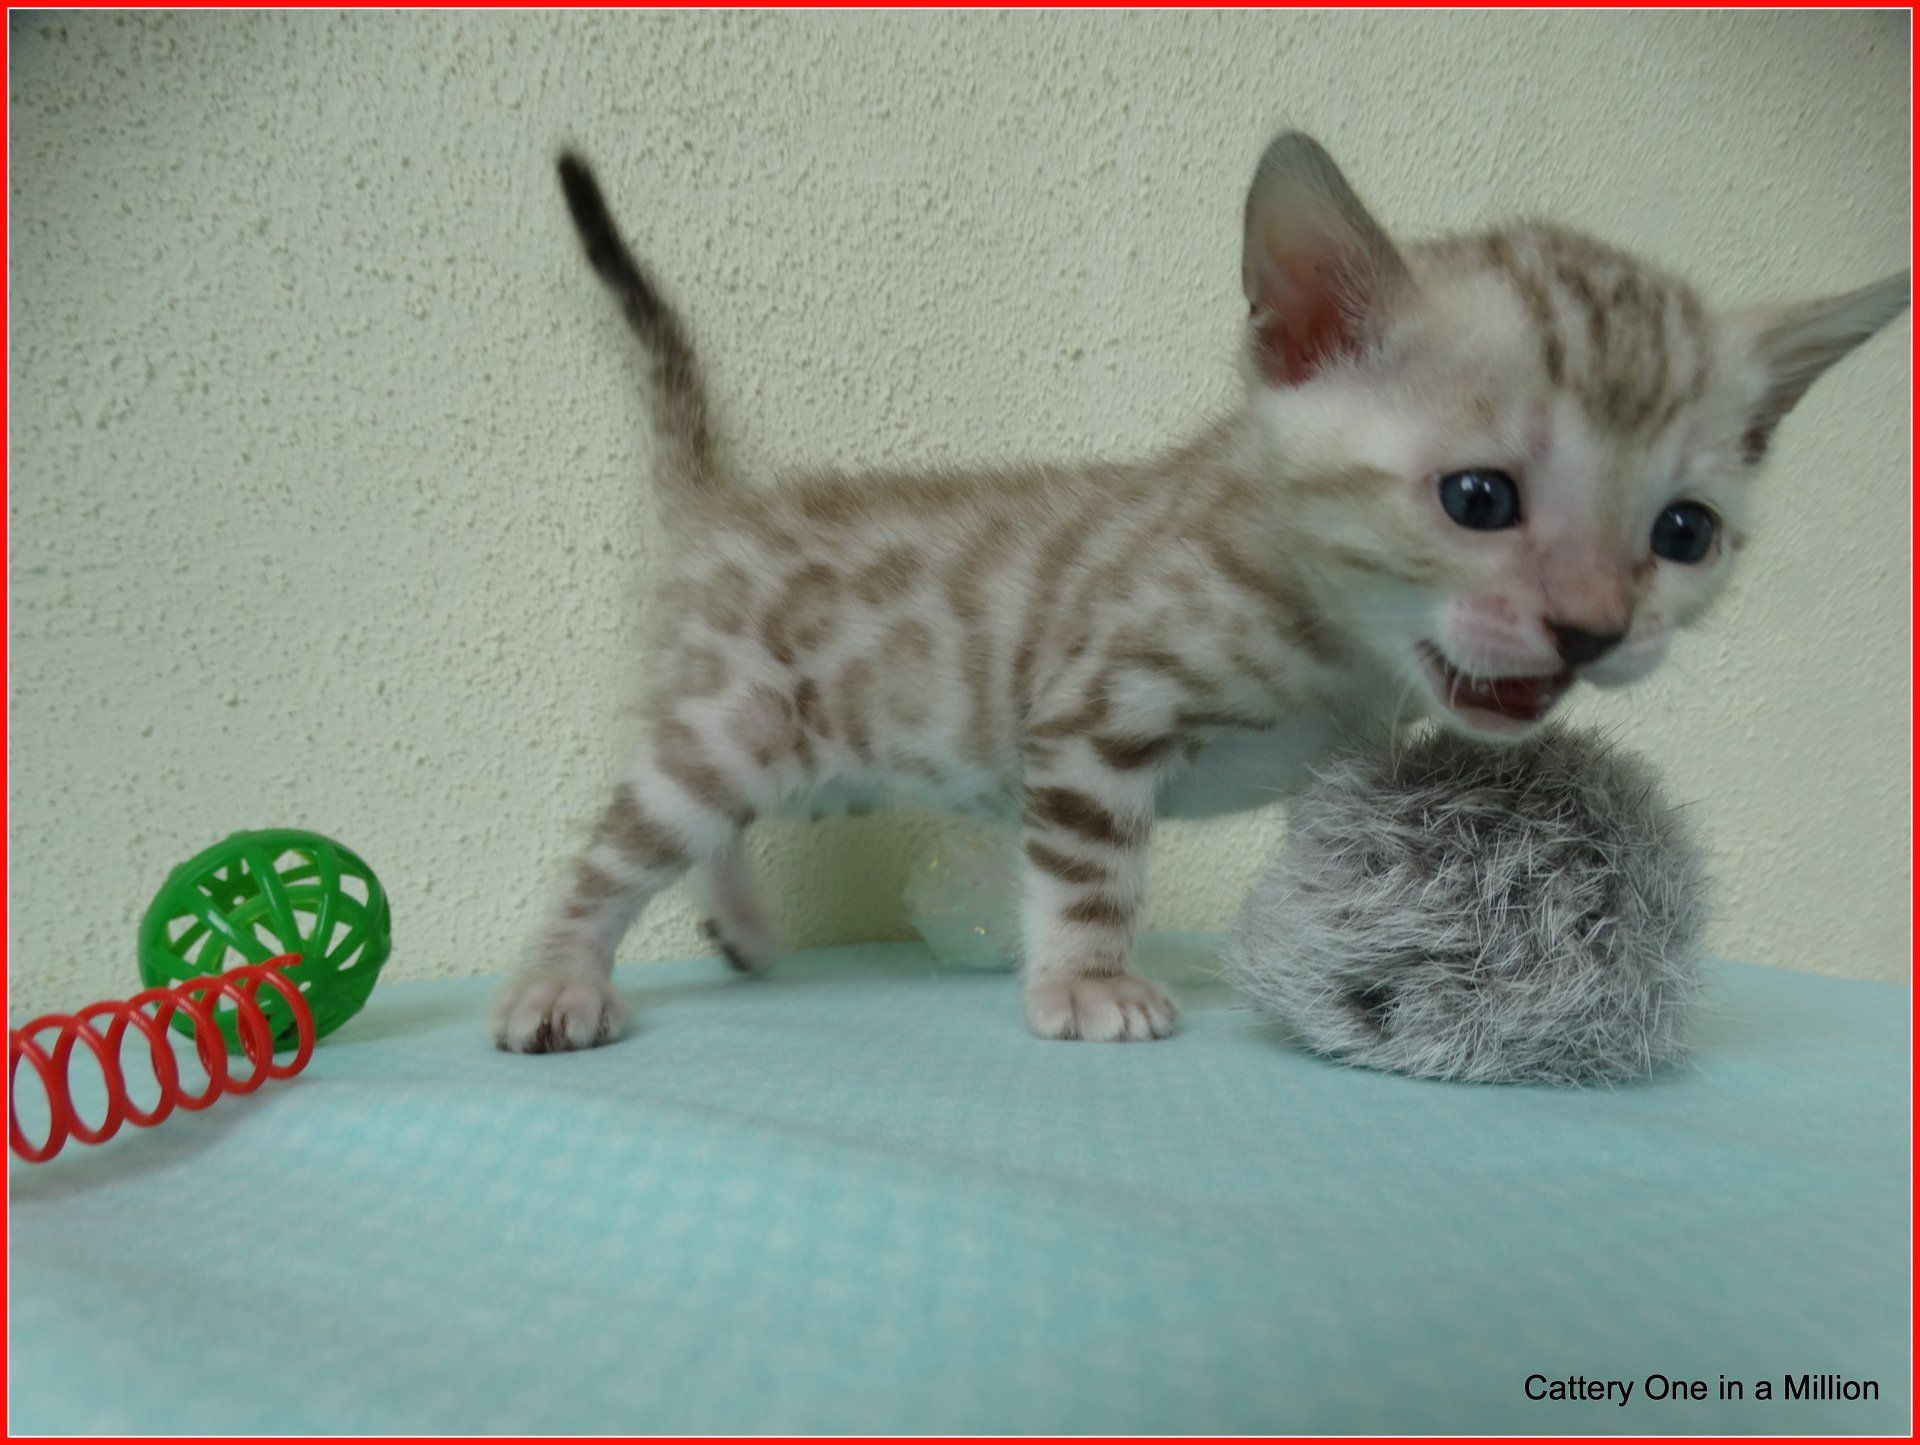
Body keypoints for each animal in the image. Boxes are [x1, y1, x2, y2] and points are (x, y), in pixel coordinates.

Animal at [493, 132, 1906, 1051]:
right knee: (618, 844)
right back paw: (557, 981)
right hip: (741, 727)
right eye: (1478, 497)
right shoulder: (1092, 715)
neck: (1331, 647)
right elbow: (1088, 870)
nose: (1594, 627)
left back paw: (738, 923)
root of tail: (721, 507)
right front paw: (1087, 983)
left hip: (813, 754)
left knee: (704, 827)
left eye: (1685, 532)